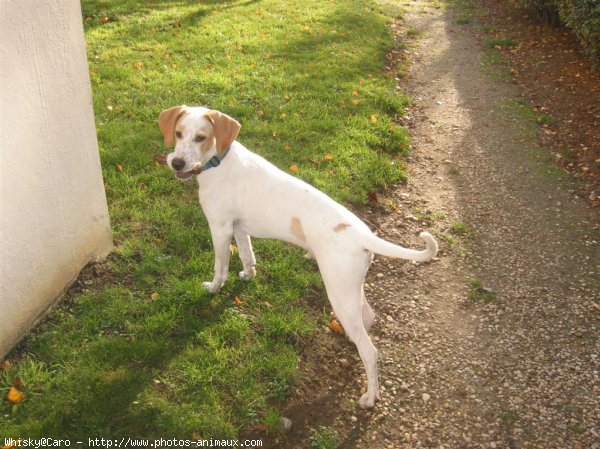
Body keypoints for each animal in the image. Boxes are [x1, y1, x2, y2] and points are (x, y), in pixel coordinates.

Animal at [157, 105, 438, 406]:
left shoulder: (219, 229)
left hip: (339, 292)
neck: (220, 161)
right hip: (351, 289)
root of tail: (365, 236)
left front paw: (213, 288)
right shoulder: (238, 228)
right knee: (368, 319)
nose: (176, 163)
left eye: (201, 137)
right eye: (178, 133)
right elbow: (247, 255)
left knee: (370, 351)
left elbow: (220, 268)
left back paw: (370, 397)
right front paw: (248, 275)